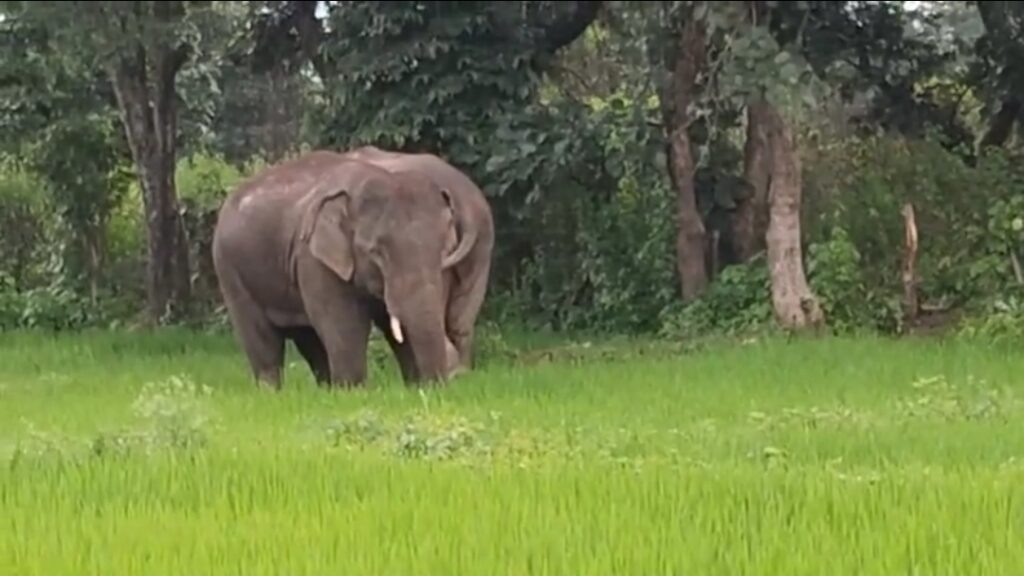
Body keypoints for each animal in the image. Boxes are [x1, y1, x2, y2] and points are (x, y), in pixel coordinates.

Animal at [211, 149, 493, 389]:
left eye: (445, 251)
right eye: (376, 252)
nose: (445, 382)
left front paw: (415, 388)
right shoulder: (313, 258)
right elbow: (345, 324)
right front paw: (353, 392)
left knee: (308, 339)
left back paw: (326, 390)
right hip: (229, 269)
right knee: (262, 339)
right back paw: (274, 393)